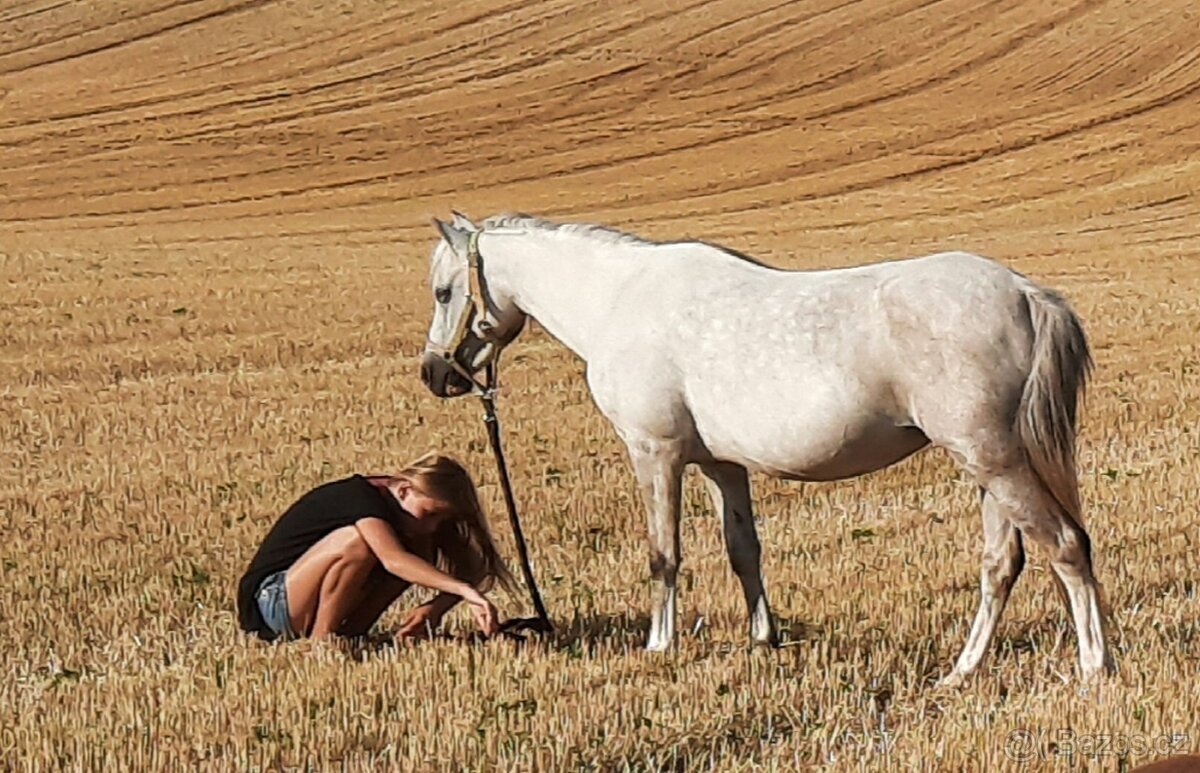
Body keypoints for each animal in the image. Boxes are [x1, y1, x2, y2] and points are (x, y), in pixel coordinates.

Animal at [418, 211, 1114, 684]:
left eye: (444, 292)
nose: (435, 375)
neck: (620, 300)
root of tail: (1024, 293)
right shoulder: (722, 467)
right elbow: (743, 550)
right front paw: (763, 639)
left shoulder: (655, 453)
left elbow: (663, 555)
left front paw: (659, 645)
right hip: (986, 467)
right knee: (1002, 564)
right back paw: (962, 670)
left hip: (993, 459)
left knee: (1065, 546)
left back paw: (1094, 665)